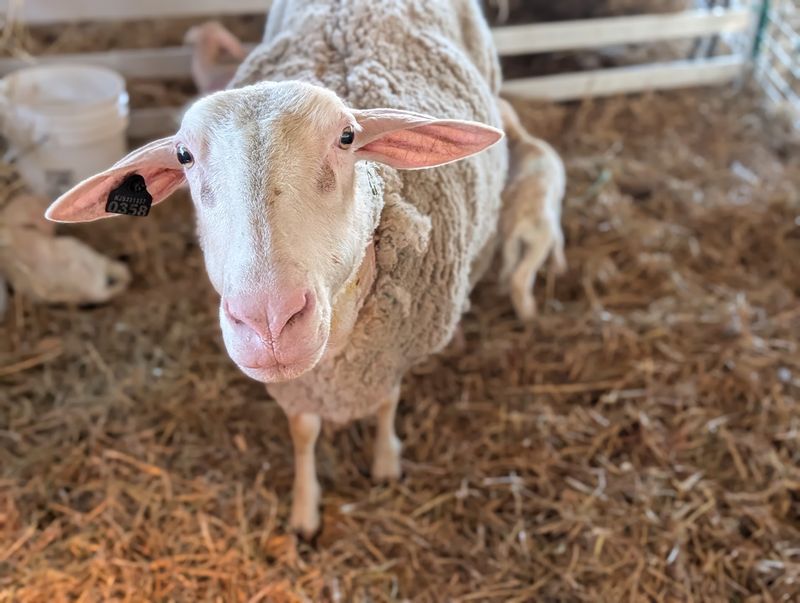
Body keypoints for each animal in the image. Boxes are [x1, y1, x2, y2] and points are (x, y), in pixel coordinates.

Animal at [45, 0, 565, 538]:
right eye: (184, 156)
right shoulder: (297, 386)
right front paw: (304, 511)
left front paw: (385, 462)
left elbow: (386, 401)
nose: (269, 322)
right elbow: (304, 432)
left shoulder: (392, 352)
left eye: (347, 137)